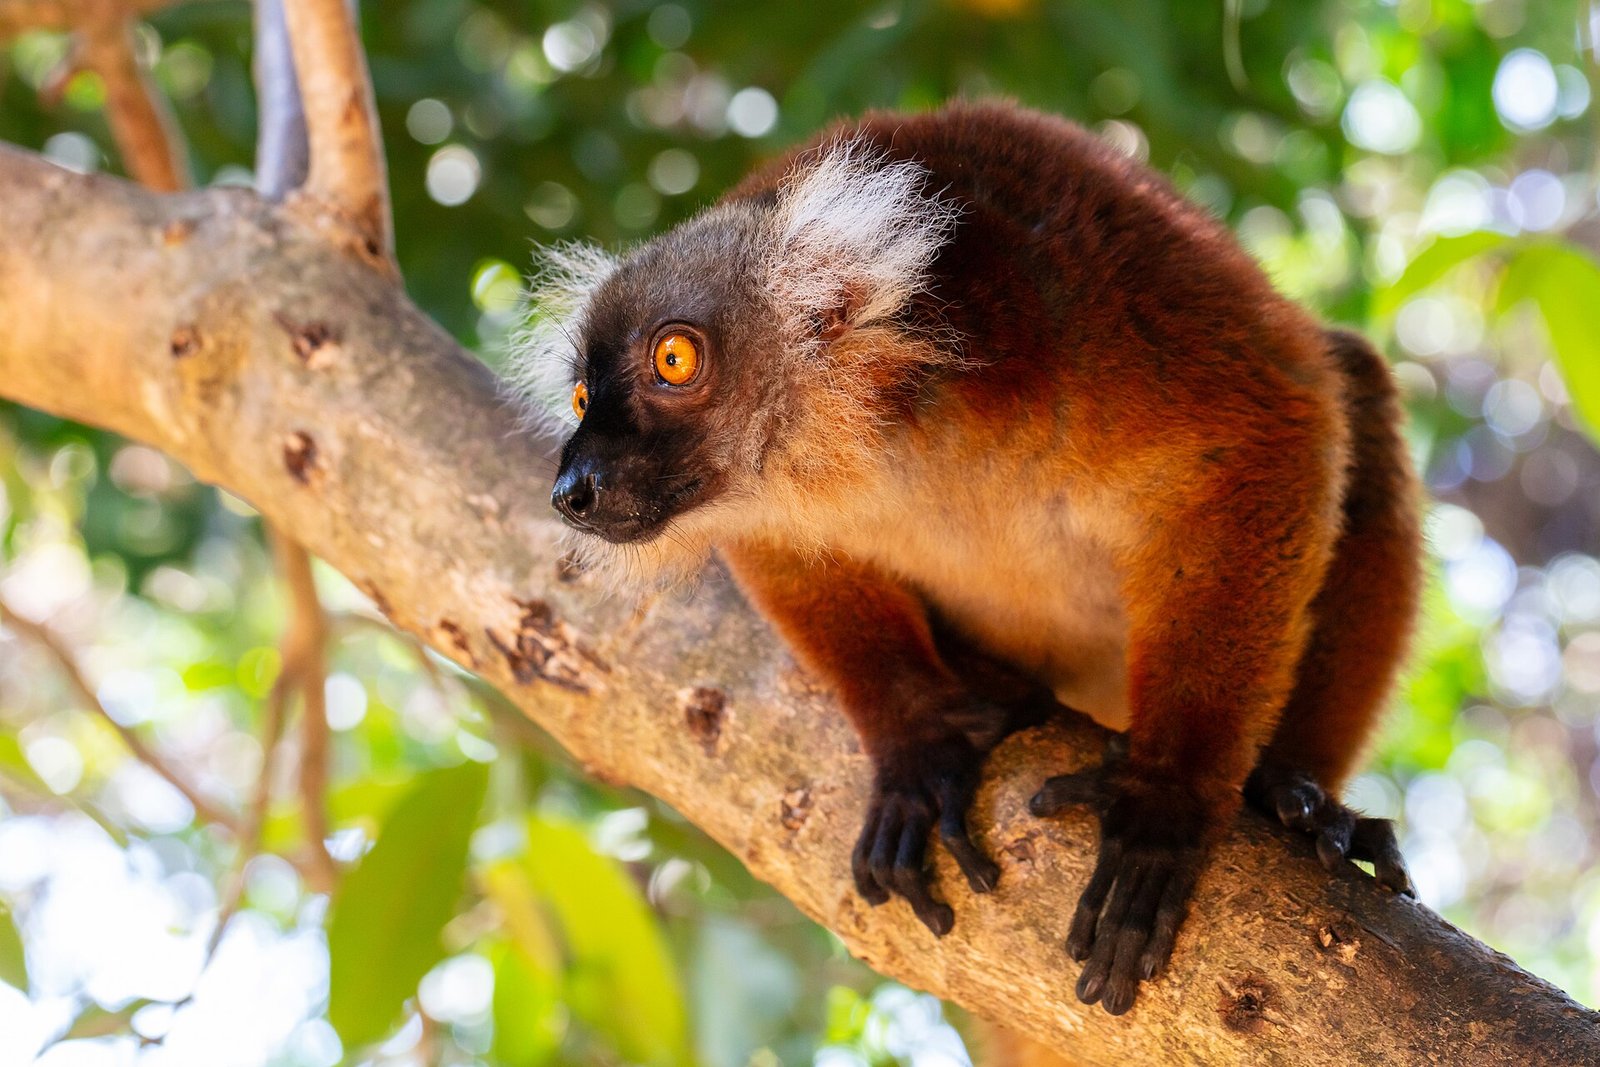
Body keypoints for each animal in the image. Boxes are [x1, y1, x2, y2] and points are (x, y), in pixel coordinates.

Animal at [509, 101, 1422, 1016]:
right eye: (583, 397)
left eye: (674, 359)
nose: (572, 489)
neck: (902, 424)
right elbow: (780, 549)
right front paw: (917, 742)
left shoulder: (1108, 312)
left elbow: (1274, 432)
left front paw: (1169, 795)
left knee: (1354, 384)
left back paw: (1298, 798)